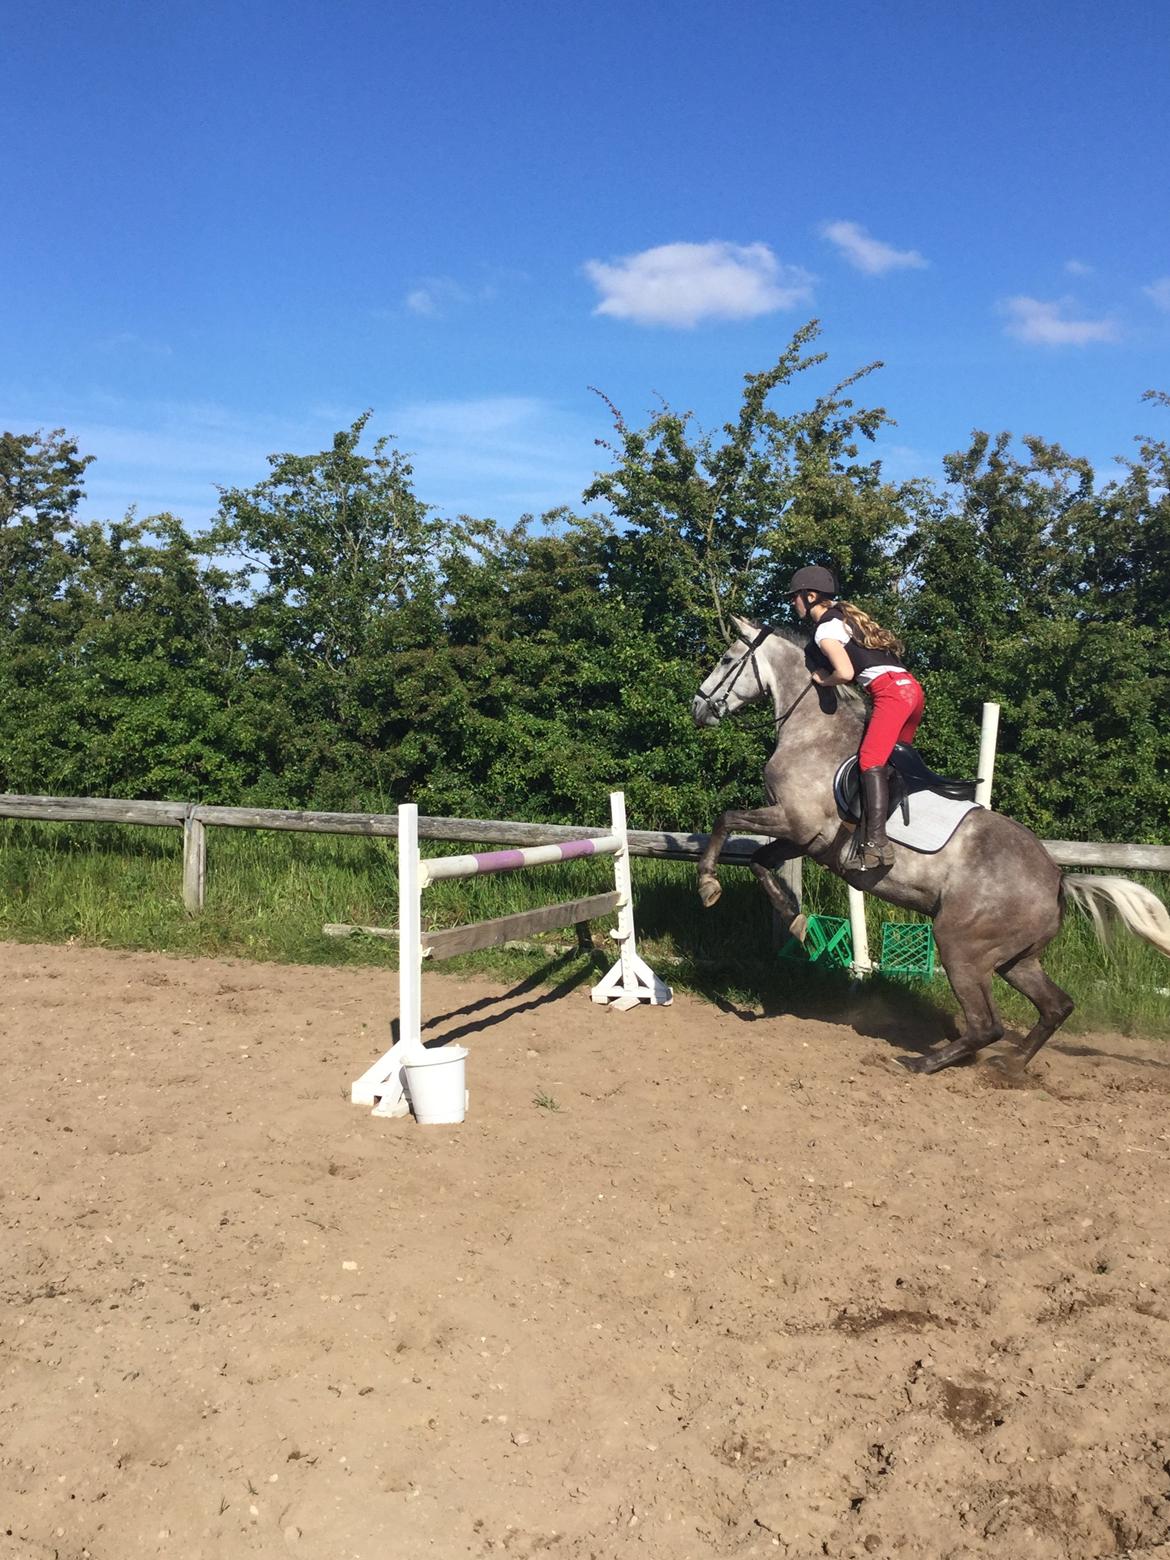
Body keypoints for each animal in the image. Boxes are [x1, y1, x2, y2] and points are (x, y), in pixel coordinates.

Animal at [695, 614, 1170, 1079]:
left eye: (726, 658)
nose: (699, 707)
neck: (813, 731)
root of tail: (1057, 877)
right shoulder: (806, 839)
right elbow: (759, 861)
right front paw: (795, 920)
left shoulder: (796, 822)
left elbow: (726, 821)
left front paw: (708, 885)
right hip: (1015, 960)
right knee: (1056, 1007)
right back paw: (1010, 1067)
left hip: (961, 945)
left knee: (987, 1025)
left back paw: (918, 1063)